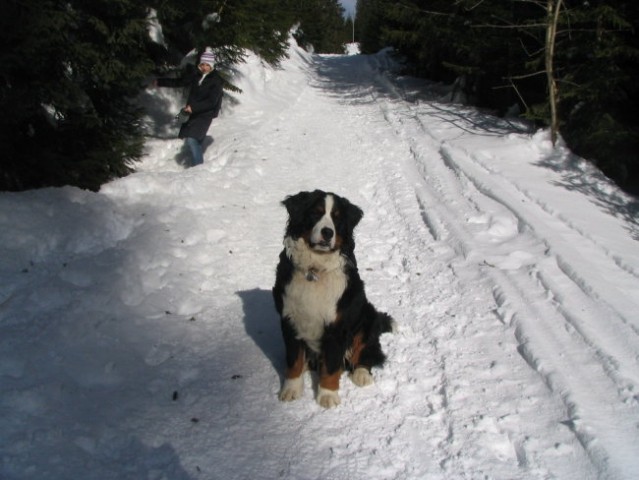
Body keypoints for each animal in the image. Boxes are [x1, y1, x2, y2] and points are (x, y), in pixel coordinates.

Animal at [272, 189, 396, 406]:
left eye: (337, 219)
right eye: (316, 213)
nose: (327, 232)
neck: (314, 270)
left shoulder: (337, 326)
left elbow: (331, 365)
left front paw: (328, 395)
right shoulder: (289, 319)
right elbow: (294, 360)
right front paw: (291, 389)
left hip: (367, 317)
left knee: (366, 352)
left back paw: (362, 375)